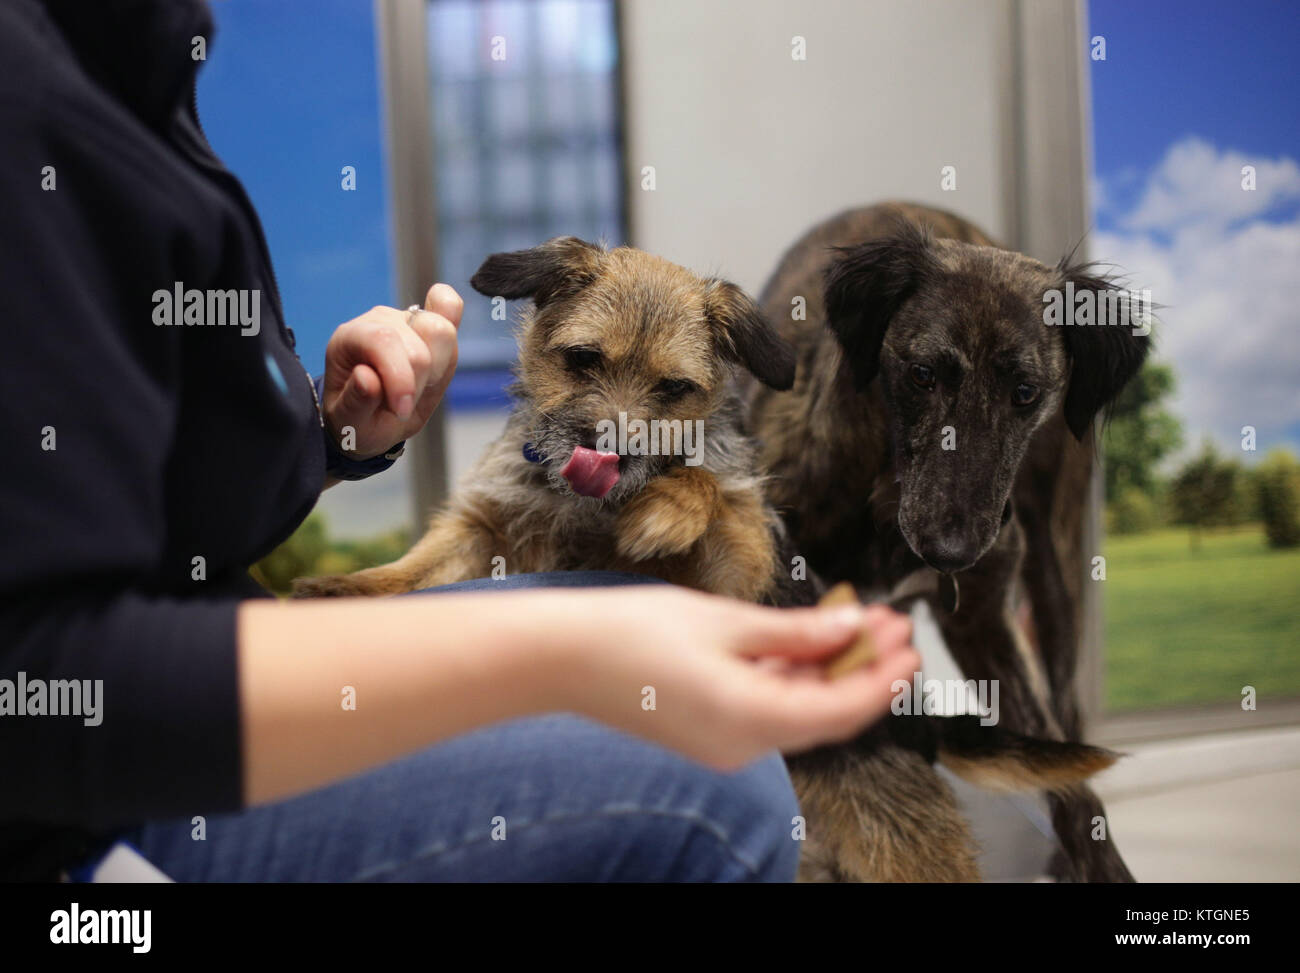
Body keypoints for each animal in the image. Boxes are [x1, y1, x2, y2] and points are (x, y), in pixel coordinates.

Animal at [293, 235, 795, 600]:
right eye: (583, 357)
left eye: (673, 387)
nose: (608, 453)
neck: (585, 507)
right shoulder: (483, 528)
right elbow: (418, 566)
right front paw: (346, 588)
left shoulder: (732, 574)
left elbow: (718, 494)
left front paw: (670, 508)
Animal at [754, 199, 1149, 879]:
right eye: (921, 375)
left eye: (1025, 393)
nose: (951, 551)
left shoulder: (986, 621)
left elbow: (1070, 782)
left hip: (1058, 579)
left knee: (1067, 711)